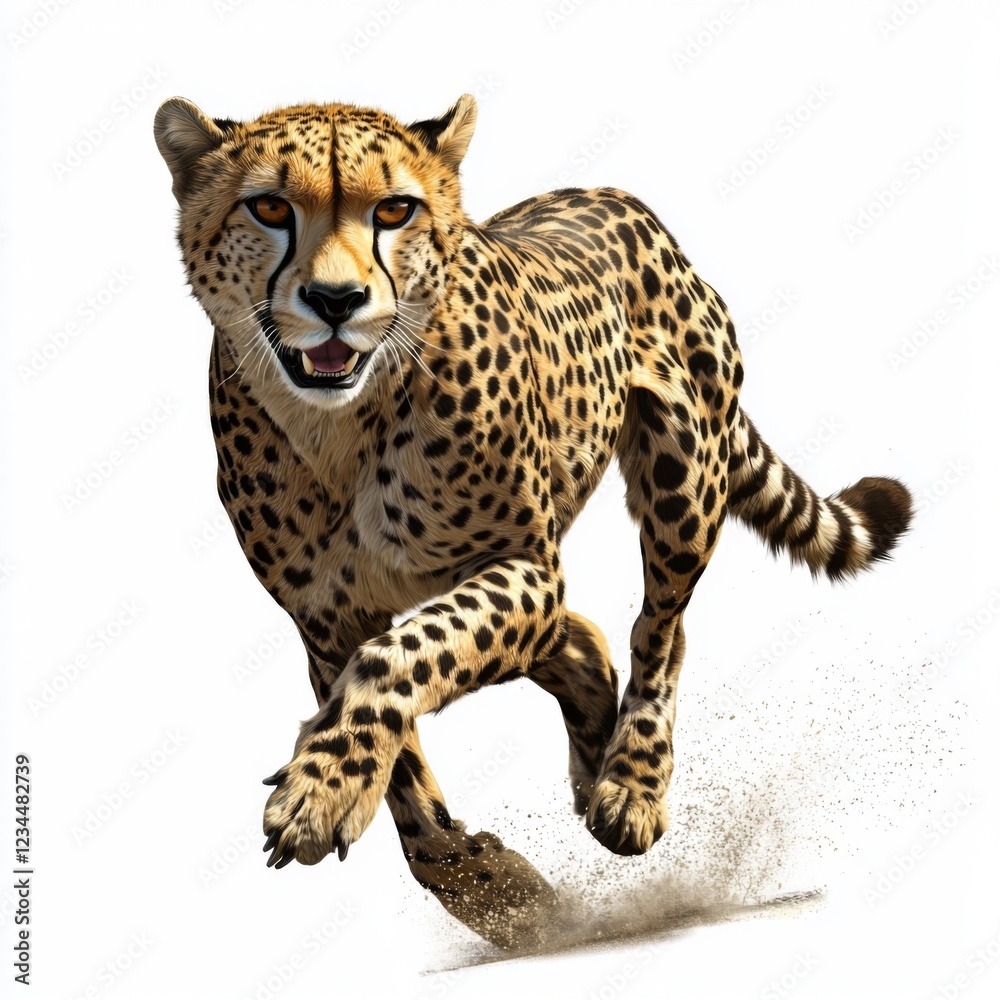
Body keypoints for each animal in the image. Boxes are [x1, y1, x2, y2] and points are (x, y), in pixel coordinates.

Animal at [154, 93, 912, 949]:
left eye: (394, 210)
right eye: (271, 207)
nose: (336, 303)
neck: (342, 424)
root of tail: (623, 201)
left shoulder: (523, 566)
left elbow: (401, 659)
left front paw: (319, 794)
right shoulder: (327, 619)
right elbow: (402, 768)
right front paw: (498, 894)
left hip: (685, 474)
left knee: (659, 630)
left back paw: (630, 786)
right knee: (578, 642)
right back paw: (591, 759)